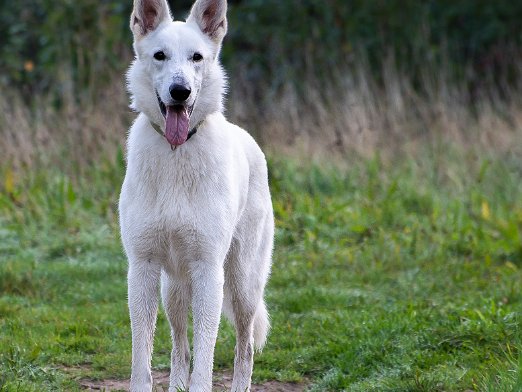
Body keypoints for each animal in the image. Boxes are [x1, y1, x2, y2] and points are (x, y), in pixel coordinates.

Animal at [117, 0, 272, 388]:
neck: (176, 152)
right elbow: (143, 357)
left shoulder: (207, 271)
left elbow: (206, 355)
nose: (180, 91)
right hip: (172, 288)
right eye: (160, 56)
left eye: (197, 57)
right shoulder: (142, 268)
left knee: (245, 347)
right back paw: (176, 384)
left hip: (241, 285)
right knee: (179, 346)